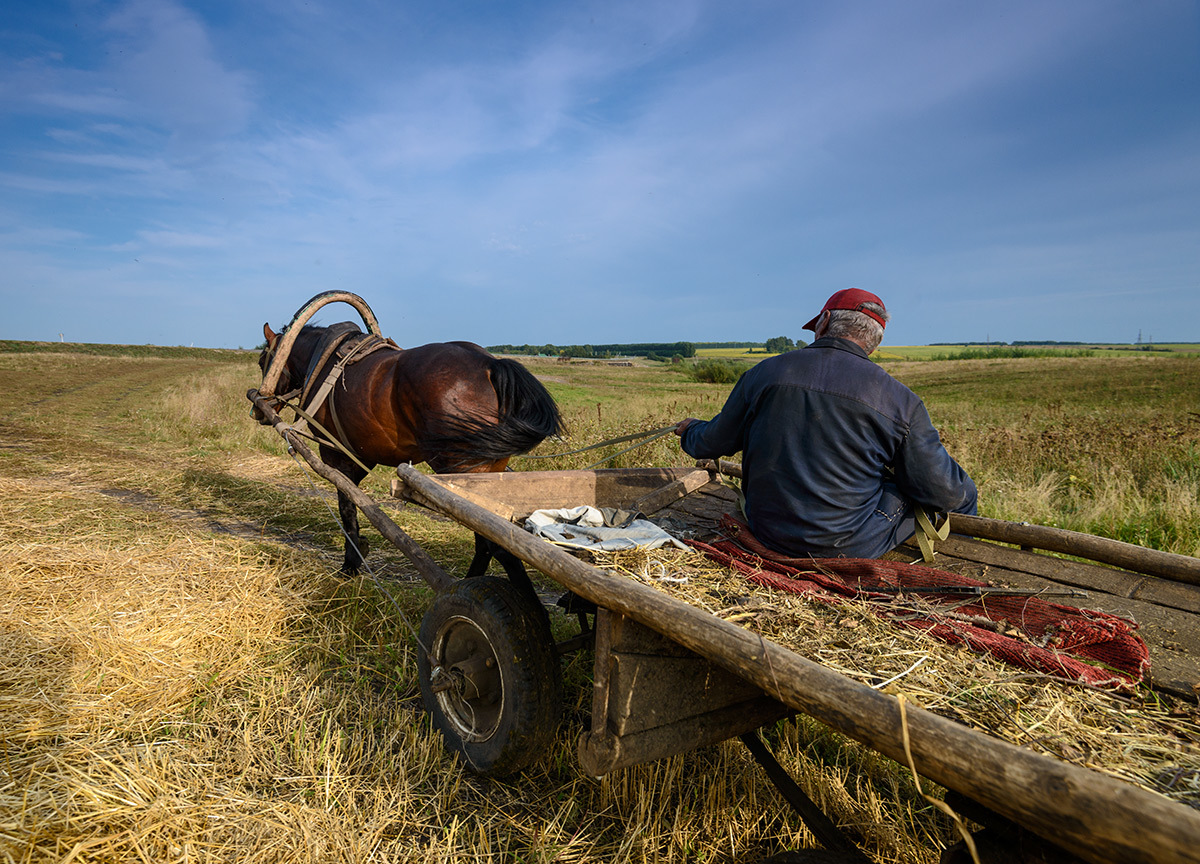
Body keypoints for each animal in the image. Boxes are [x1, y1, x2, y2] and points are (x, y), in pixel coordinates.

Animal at [255, 321, 564, 583]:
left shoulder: (335, 454)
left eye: (261, 361)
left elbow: (346, 504)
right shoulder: (361, 454)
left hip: (463, 471)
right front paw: (359, 552)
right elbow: (353, 499)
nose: (259, 408)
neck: (324, 363)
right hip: (492, 473)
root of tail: (491, 364)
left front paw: (350, 564)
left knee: (494, 543)